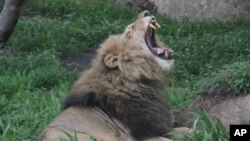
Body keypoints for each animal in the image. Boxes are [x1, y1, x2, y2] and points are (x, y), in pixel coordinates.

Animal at [40, 10, 190, 140]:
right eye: (129, 32)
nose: (146, 12)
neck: (141, 80)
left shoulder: (160, 128)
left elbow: (185, 130)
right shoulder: (142, 135)